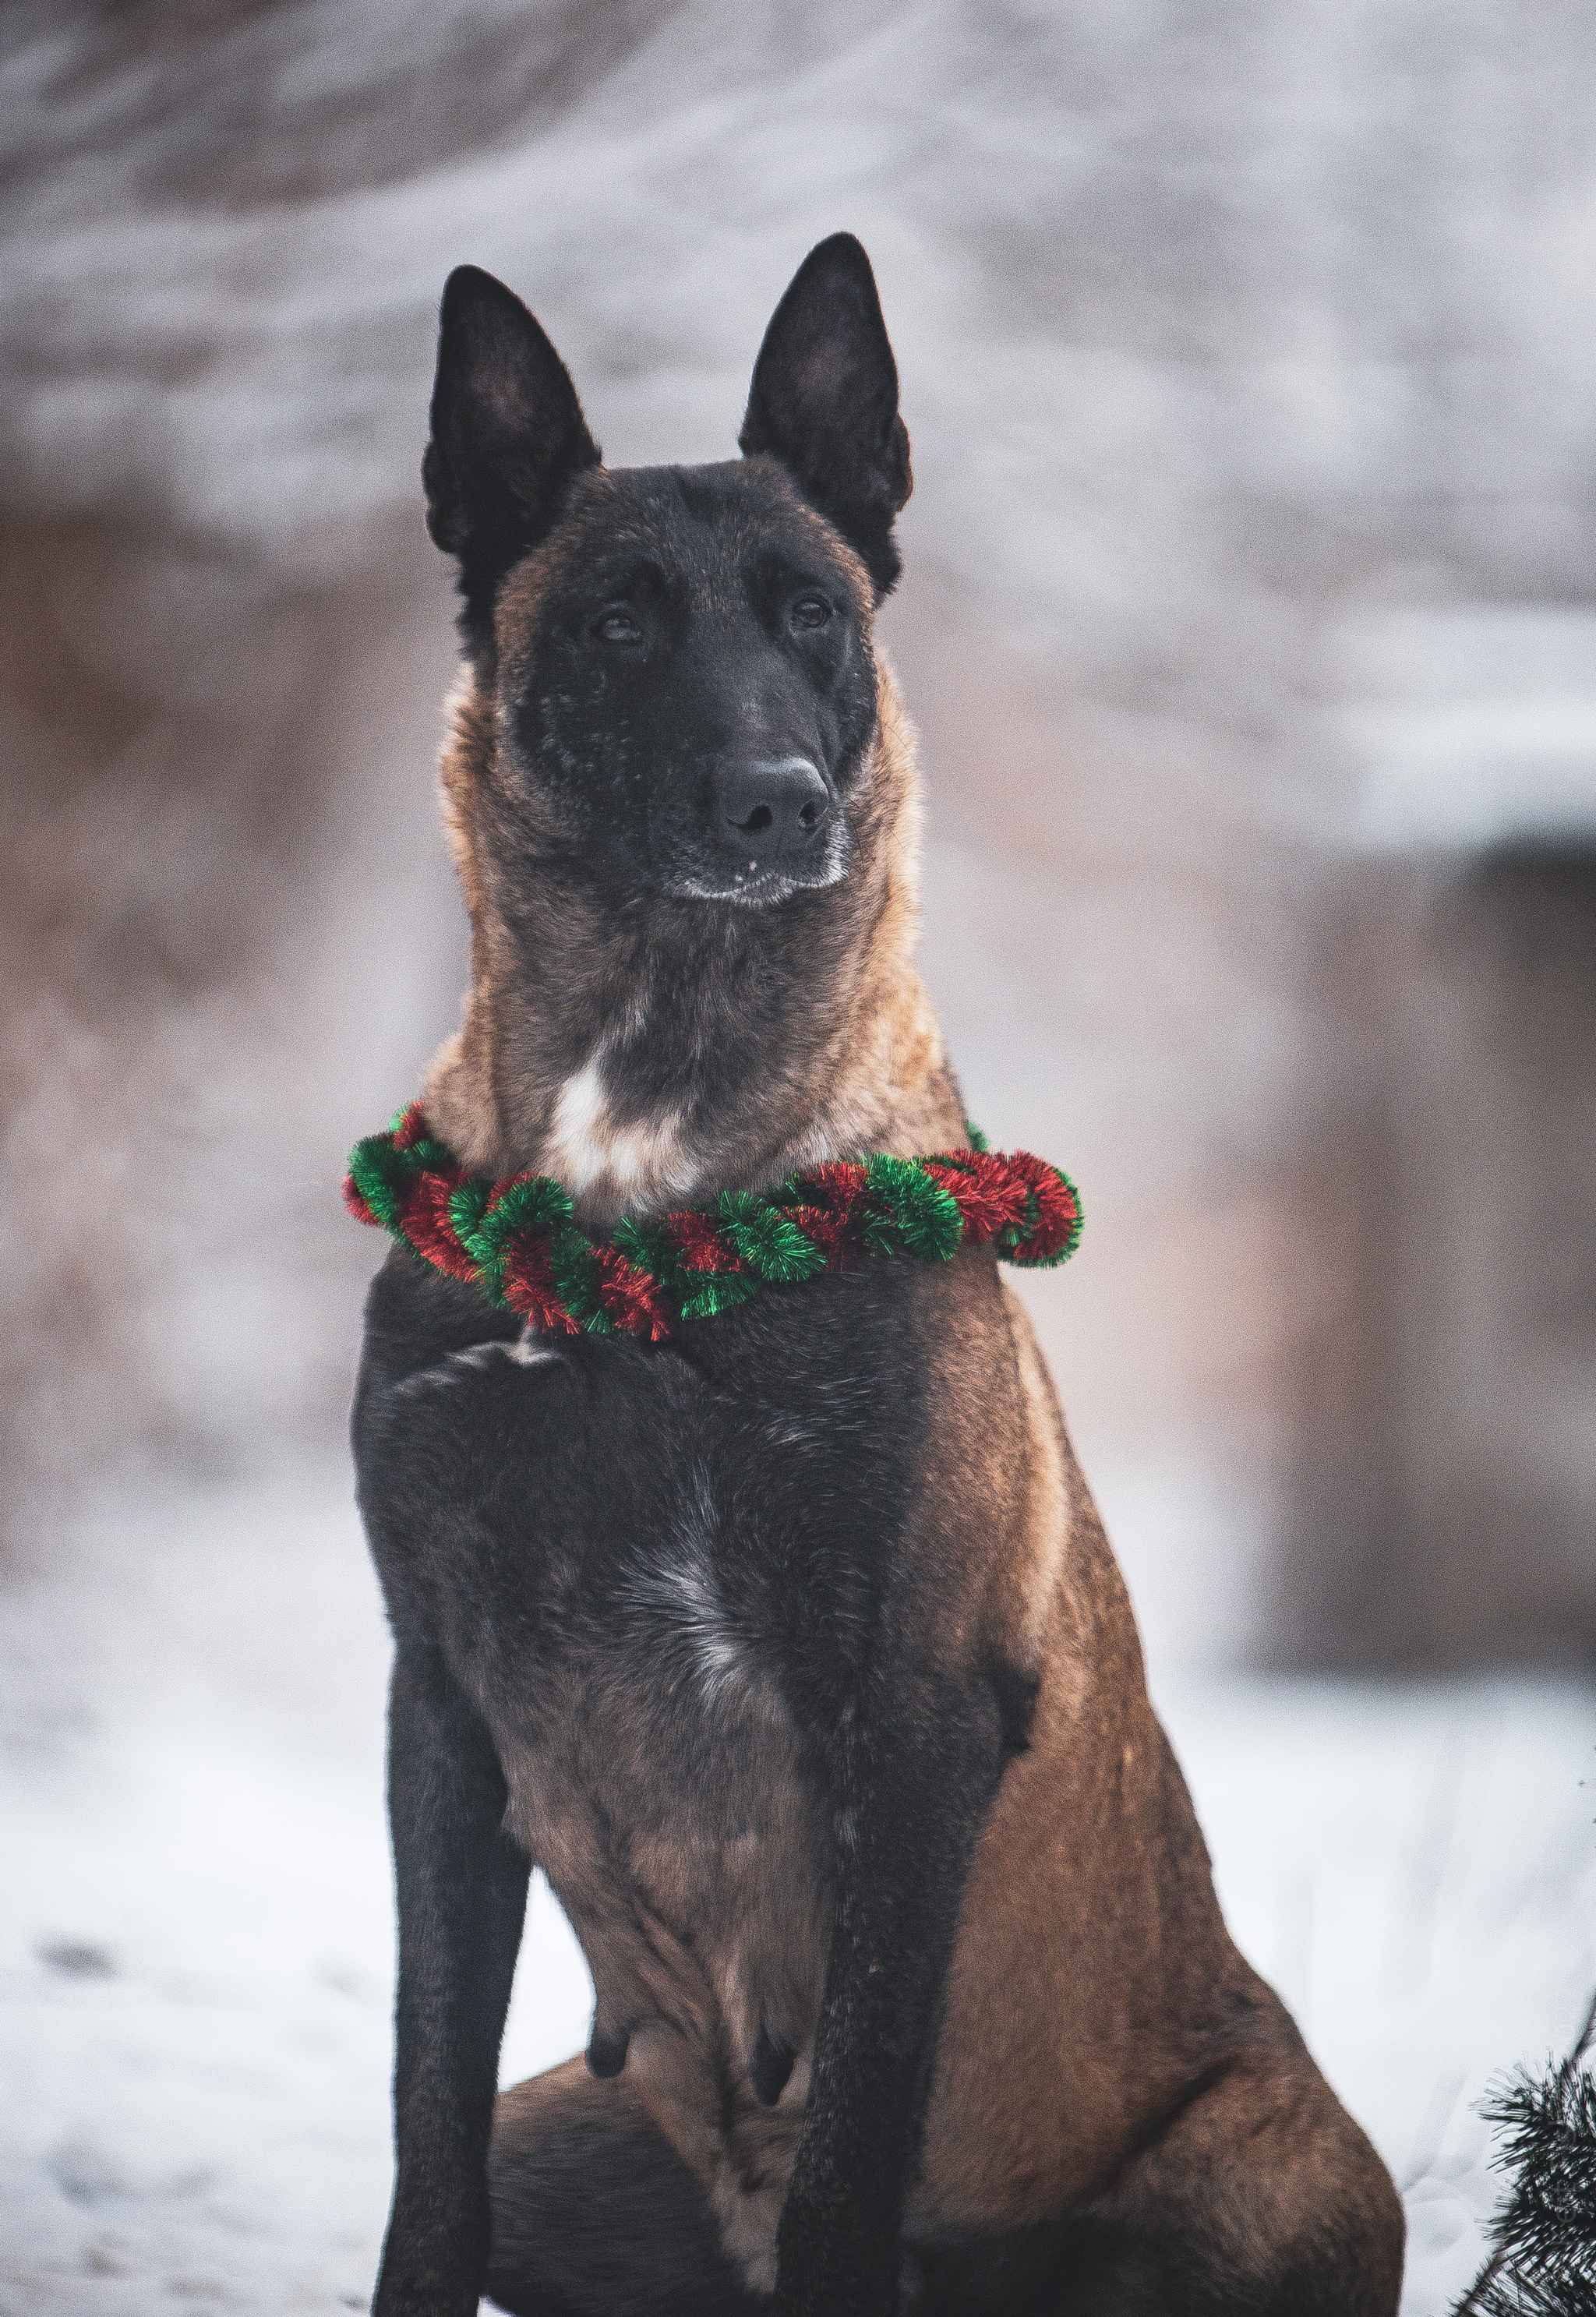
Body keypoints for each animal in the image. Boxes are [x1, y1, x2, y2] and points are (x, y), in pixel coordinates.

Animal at [347, 235, 1389, 2317]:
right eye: (615, 624)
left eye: (812, 614)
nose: (775, 804)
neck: (635, 1210)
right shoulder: (441, 1703)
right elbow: (425, 2138)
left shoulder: (909, 1725)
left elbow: (850, 2143)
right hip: (571, 2137)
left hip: (1265, 2187)